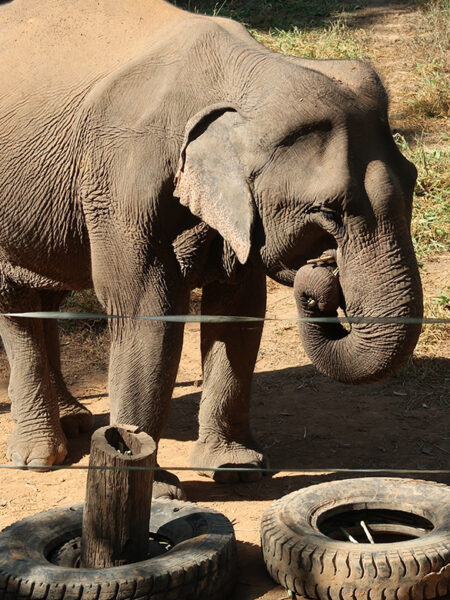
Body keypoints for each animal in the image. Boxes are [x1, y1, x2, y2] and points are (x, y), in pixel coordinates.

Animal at [0, 0, 422, 496]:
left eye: (414, 180)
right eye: (327, 210)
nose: (323, 276)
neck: (251, 74)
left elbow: (239, 309)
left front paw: (236, 470)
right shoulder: (122, 186)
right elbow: (147, 310)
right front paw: (156, 487)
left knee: (46, 292)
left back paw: (73, 423)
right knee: (15, 301)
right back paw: (39, 457)